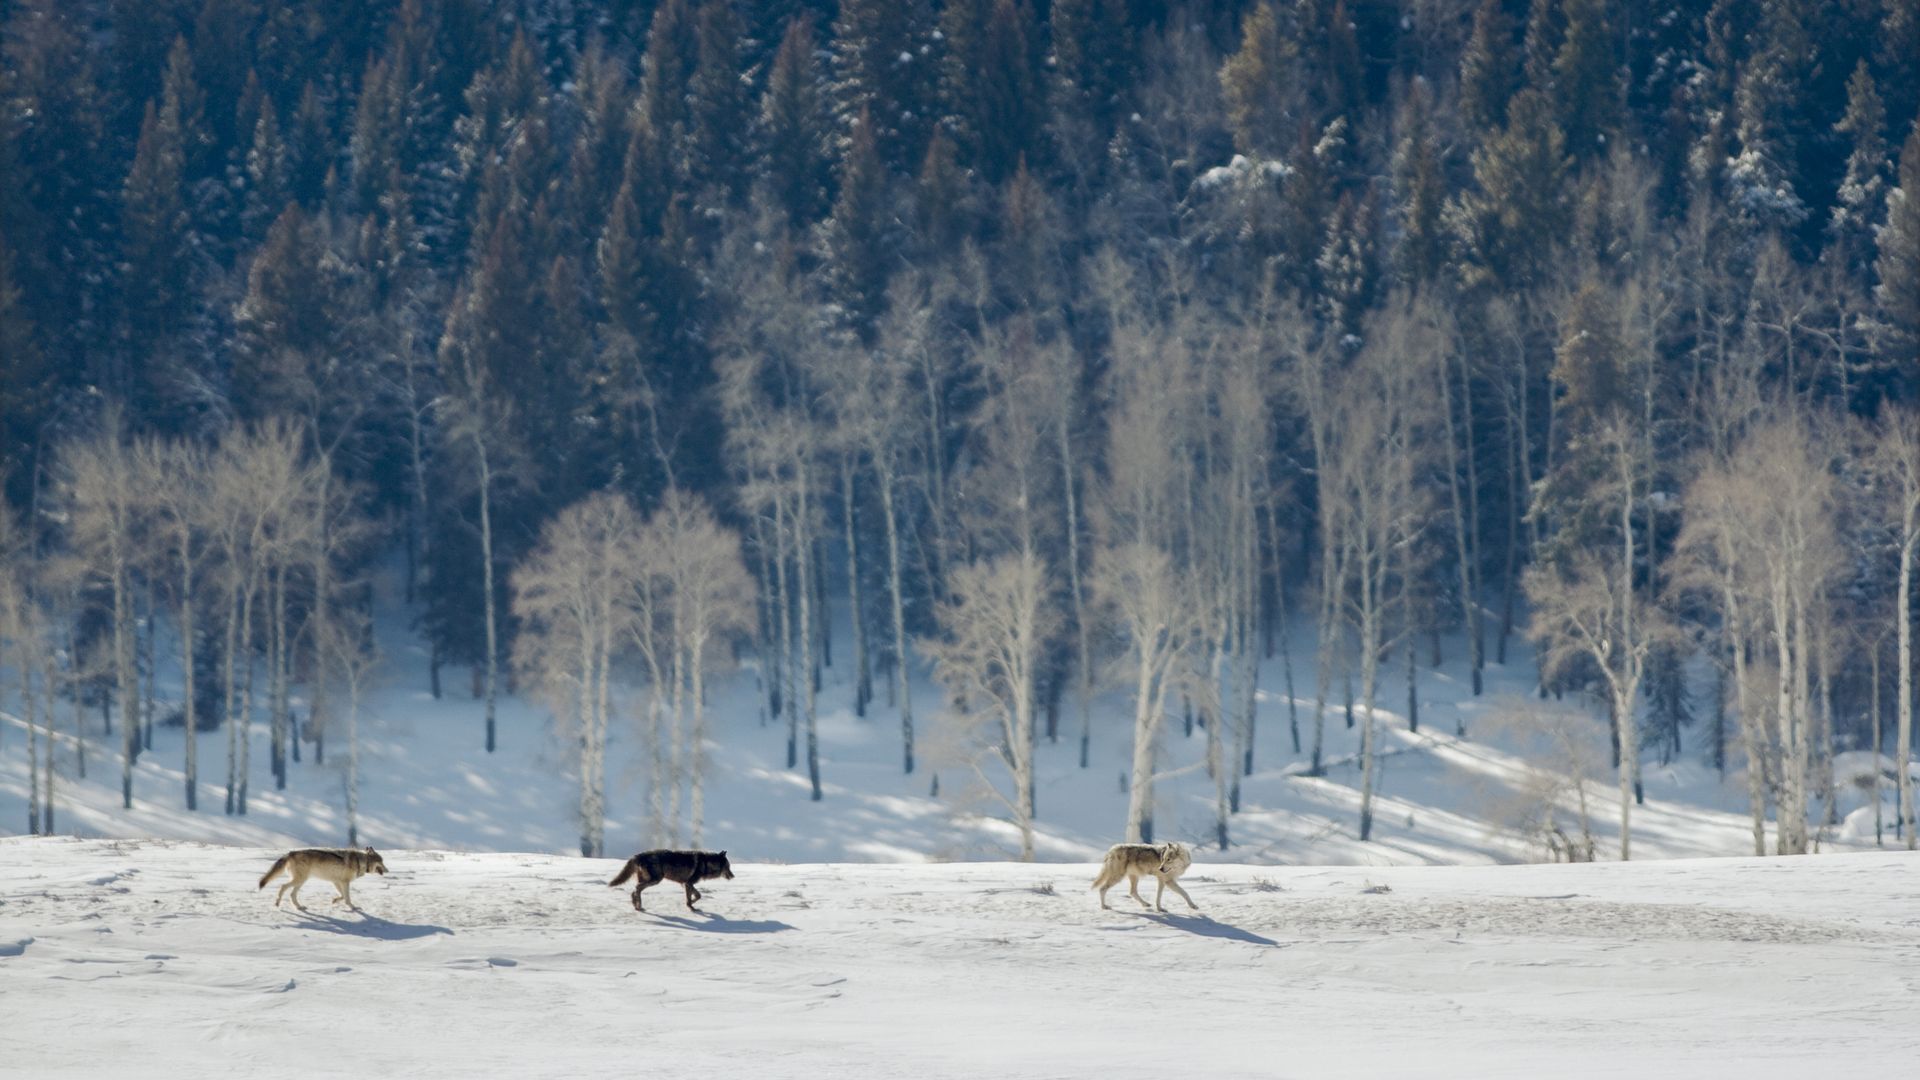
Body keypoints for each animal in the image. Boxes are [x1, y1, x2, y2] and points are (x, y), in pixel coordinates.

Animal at [258, 847, 388, 911]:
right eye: (381, 861)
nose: (388, 870)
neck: (360, 861)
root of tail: (290, 853)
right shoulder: (344, 882)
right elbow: (347, 898)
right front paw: (353, 907)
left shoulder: (337, 882)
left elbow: (342, 896)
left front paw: (334, 900)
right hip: (300, 880)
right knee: (283, 886)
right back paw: (277, 902)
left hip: (301, 881)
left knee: (291, 894)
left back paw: (299, 907)